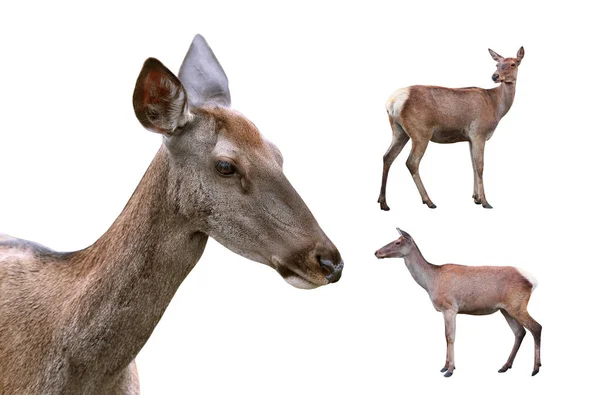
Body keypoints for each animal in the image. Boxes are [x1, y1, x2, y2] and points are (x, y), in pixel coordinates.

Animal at [376, 230, 540, 378]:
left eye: (398, 242)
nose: (376, 252)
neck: (430, 282)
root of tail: (533, 282)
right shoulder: (444, 311)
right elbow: (445, 336)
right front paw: (444, 366)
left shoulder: (450, 307)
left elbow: (450, 337)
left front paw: (450, 370)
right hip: (505, 309)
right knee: (519, 332)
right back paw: (505, 366)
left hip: (517, 305)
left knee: (536, 327)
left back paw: (535, 369)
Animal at [380, 46, 524, 210]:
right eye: (497, 64)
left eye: (513, 63)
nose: (495, 76)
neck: (496, 107)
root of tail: (392, 102)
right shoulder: (479, 133)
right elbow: (480, 166)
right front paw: (485, 201)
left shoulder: (470, 138)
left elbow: (473, 165)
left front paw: (476, 198)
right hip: (420, 132)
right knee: (411, 162)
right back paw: (429, 200)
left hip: (399, 130)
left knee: (387, 157)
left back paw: (383, 202)